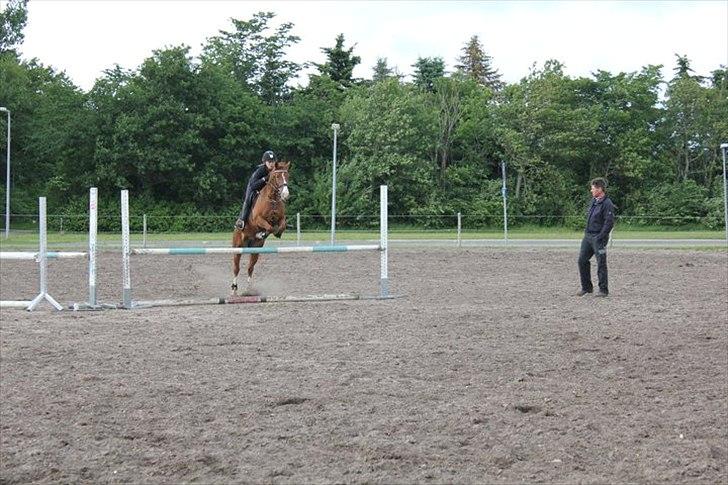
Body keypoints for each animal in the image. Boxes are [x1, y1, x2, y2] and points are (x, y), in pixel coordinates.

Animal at [231, 161, 290, 295]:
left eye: (287, 176)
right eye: (277, 177)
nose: (286, 195)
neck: (272, 199)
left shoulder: (281, 219)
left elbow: (281, 226)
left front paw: (276, 233)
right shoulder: (258, 220)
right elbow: (269, 227)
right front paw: (263, 233)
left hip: (255, 249)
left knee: (250, 268)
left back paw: (249, 290)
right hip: (238, 247)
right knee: (236, 268)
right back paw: (234, 289)